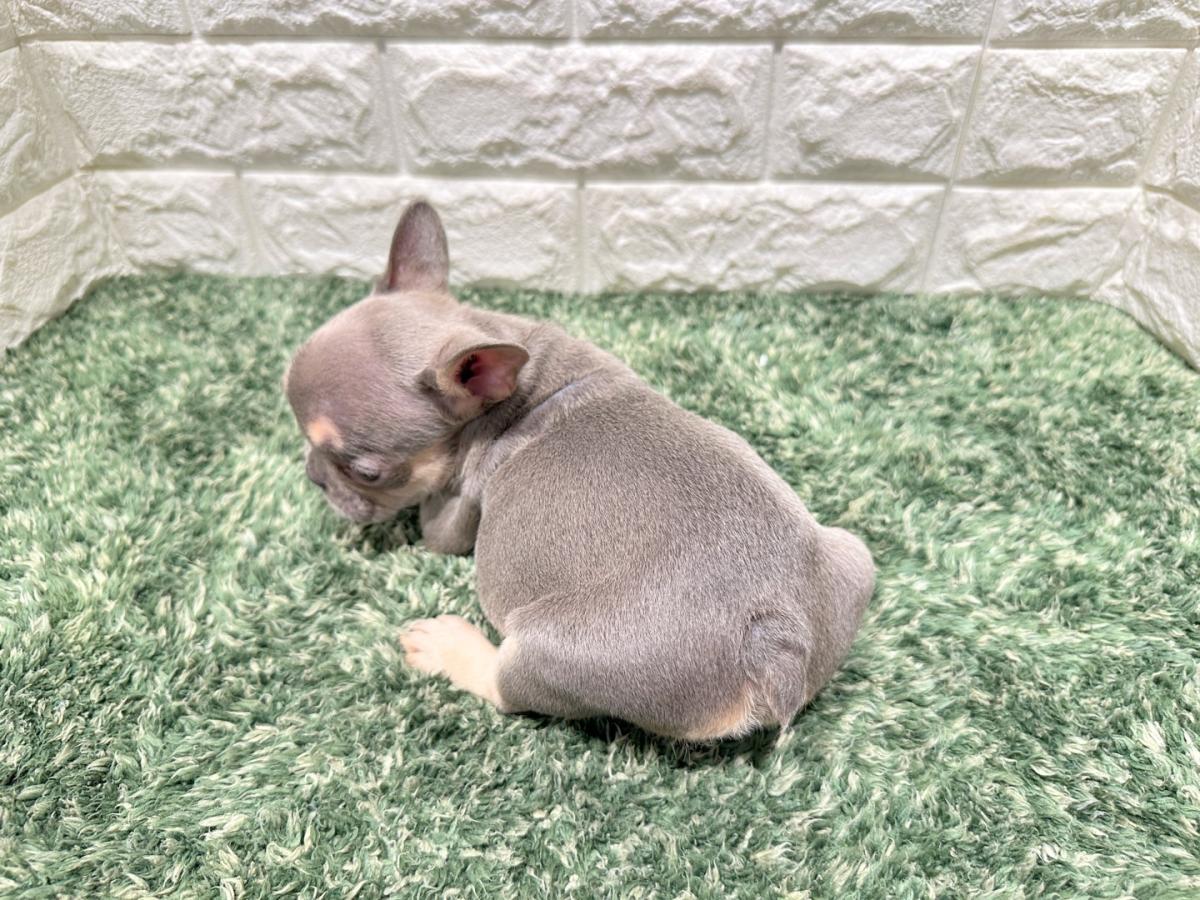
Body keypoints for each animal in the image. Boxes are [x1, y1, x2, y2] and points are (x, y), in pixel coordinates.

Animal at [283, 201, 876, 741]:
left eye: (367, 472)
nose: (314, 475)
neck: (518, 391)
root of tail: (776, 649)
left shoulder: (457, 508)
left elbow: (438, 527)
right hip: (854, 555)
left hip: (555, 648)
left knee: (510, 691)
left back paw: (451, 647)